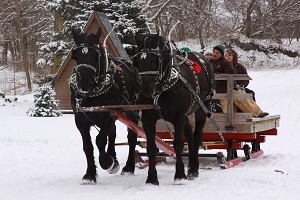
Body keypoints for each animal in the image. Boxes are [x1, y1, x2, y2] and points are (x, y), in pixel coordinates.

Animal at [70, 27, 139, 184]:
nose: (84, 82)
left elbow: (100, 140)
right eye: (76, 55)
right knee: (112, 133)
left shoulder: (109, 115)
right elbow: (88, 146)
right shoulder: (80, 120)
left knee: (131, 137)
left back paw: (128, 167)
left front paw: (107, 162)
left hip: (131, 111)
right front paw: (90, 174)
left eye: (95, 54)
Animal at [134, 32, 216, 184]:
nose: (147, 90)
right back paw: (190, 166)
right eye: (137, 61)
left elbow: (178, 144)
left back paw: (194, 169)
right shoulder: (148, 117)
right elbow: (151, 147)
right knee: (189, 132)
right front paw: (152, 178)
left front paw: (179, 175)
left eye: (155, 60)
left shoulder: (179, 115)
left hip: (202, 107)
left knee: (196, 137)